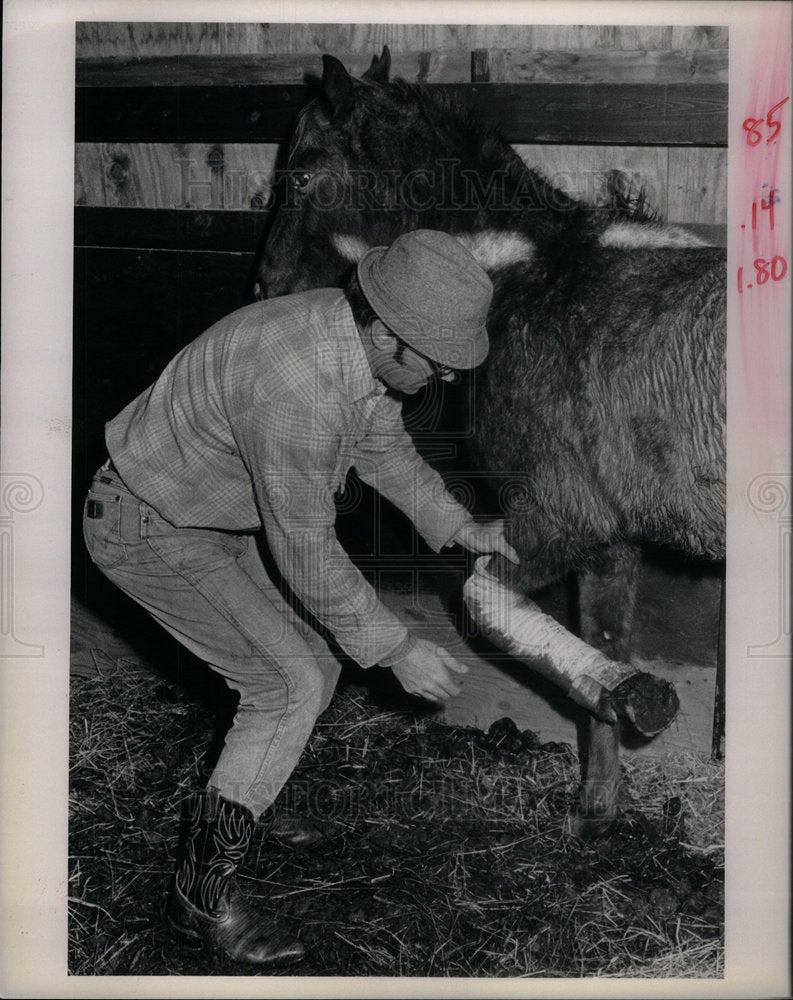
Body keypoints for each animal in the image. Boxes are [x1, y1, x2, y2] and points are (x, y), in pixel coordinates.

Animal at [256, 47, 728, 828]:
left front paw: (635, 700)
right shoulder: (610, 539)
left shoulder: (558, 521)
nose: (265, 286)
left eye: (297, 172)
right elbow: (602, 636)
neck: (528, 274)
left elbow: (484, 598)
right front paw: (599, 802)